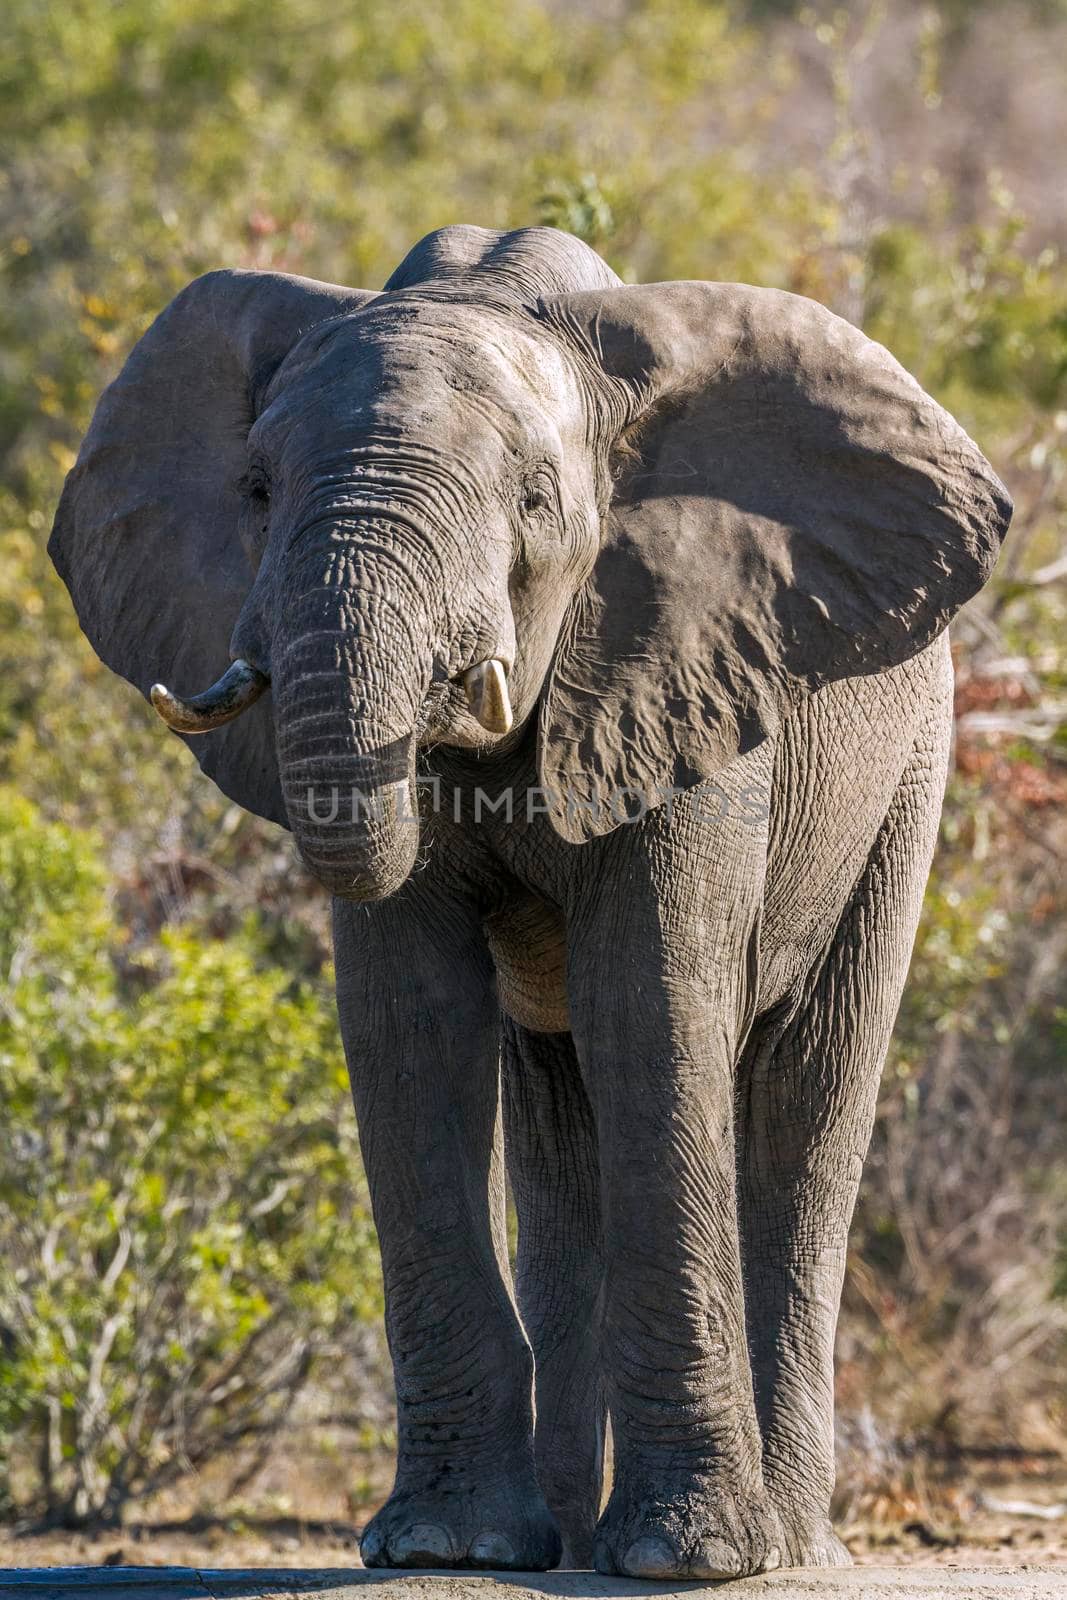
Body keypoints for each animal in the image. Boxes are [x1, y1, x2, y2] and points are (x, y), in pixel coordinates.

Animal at [49, 222, 1017, 1574]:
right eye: (255, 491)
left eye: (533, 503)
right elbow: (412, 1025)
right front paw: (445, 1546)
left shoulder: (687, 672)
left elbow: (649, 1007)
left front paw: (684, 1563)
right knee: (559, 1126)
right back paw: (560, 1538)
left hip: (904, 780)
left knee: (803, 1098)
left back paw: (784, 1545)